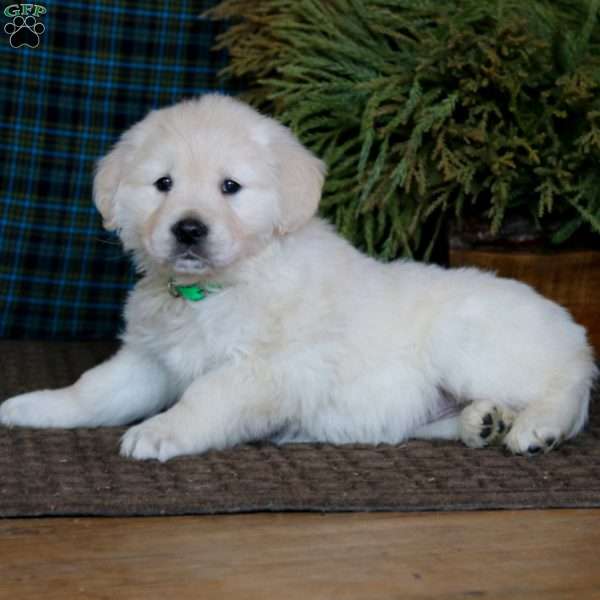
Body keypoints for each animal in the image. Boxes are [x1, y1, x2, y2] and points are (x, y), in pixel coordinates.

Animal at [0, 95, 596, 460]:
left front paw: (158, 431)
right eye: (163, 183)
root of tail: (573, 332)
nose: (189, 230)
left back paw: (535, 428)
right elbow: (94, 390)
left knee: (562, 387)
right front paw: (33, 406)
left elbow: (205, 397)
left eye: (230, 187)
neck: (214, 290)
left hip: (471, 343)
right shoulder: (149, 360)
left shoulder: (265, 369)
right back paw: (484, 422)